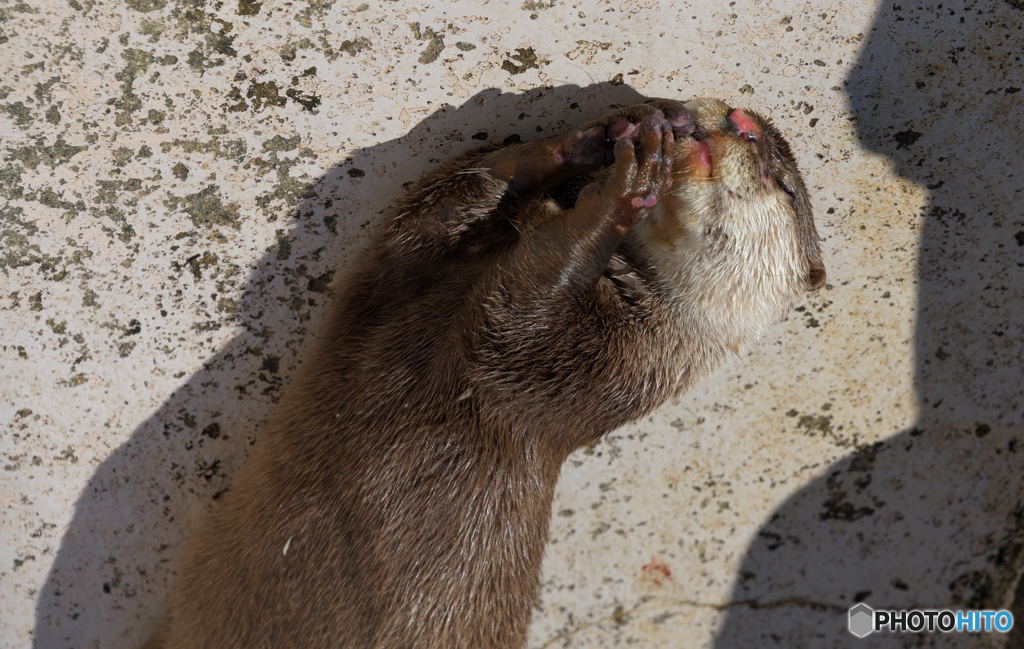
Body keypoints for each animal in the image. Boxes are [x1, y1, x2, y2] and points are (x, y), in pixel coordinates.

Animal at [146, 96, 823, 646]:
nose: (739, 121)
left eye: (784, 184)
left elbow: (508, 320)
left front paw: (626, 186)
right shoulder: (408, 268)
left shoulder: (577, 373)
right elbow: (438, 205)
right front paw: (593, 140)